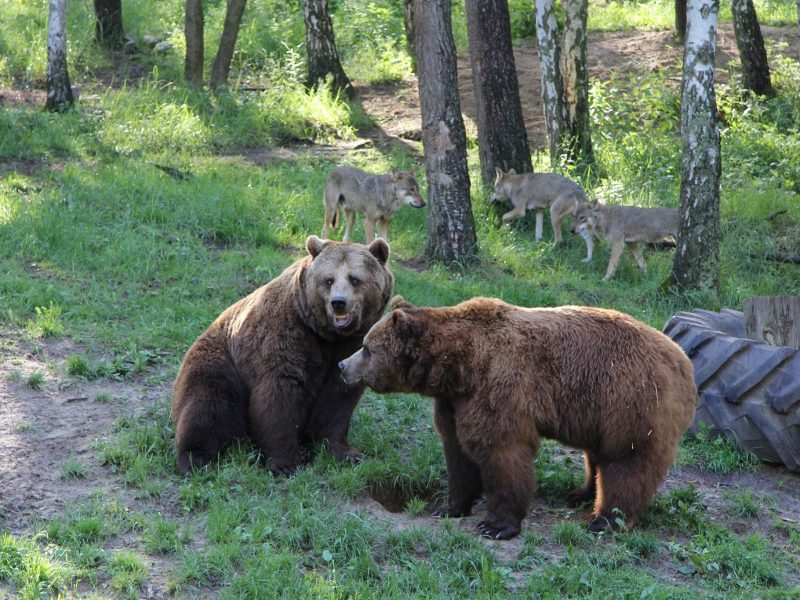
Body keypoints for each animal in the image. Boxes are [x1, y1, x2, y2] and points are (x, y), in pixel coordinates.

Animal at [173, 234, 394, 474]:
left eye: (354, 279)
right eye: (329, 280)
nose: (338, 302)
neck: (326, 335)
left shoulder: (350, 347)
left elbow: (337, 397)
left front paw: (345, 451)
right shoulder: (286, 331)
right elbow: (280, 393)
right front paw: (286, 463)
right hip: (219, 361)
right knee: (206, 406)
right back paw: (195, 458)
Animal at [340, 296, 696, 540]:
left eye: (367, 347)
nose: (343, 366)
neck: (459, 365)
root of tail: (683, 363)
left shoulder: (500, 387)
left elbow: (502, 452)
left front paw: (496, 525)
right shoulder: (455, 403)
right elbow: (457, 454)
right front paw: (448, 506)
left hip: (630, 399)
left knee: (628, 462)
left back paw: (605, 519)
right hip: (597, 411)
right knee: (596, 455)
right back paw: (580, 494)